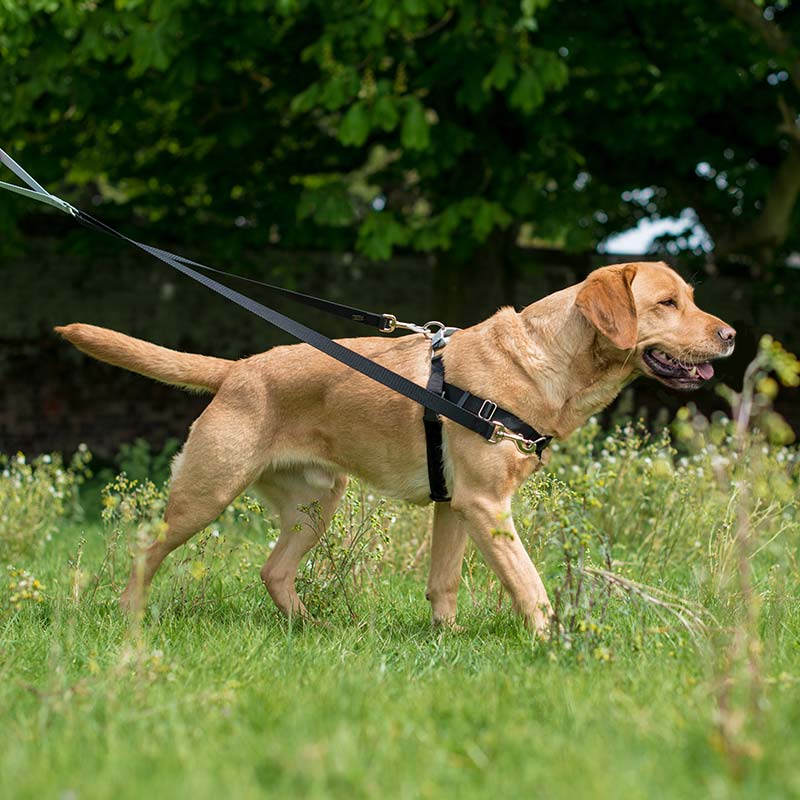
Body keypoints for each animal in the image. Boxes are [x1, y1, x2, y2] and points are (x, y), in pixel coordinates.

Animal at [54, 260, 736, 632]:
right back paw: (132, 616)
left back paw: (311, 629)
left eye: (693, 298)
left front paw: (444, 643)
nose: (730, 335)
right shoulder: (487, 506)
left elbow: (444, 587)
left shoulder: (456, 507)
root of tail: (239, 369)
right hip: (206, 493)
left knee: (273, 570)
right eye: (666, 302)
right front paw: (557, 645)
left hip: (315, 506)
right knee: (145, 550)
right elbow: (532, 587)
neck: (545, 360)